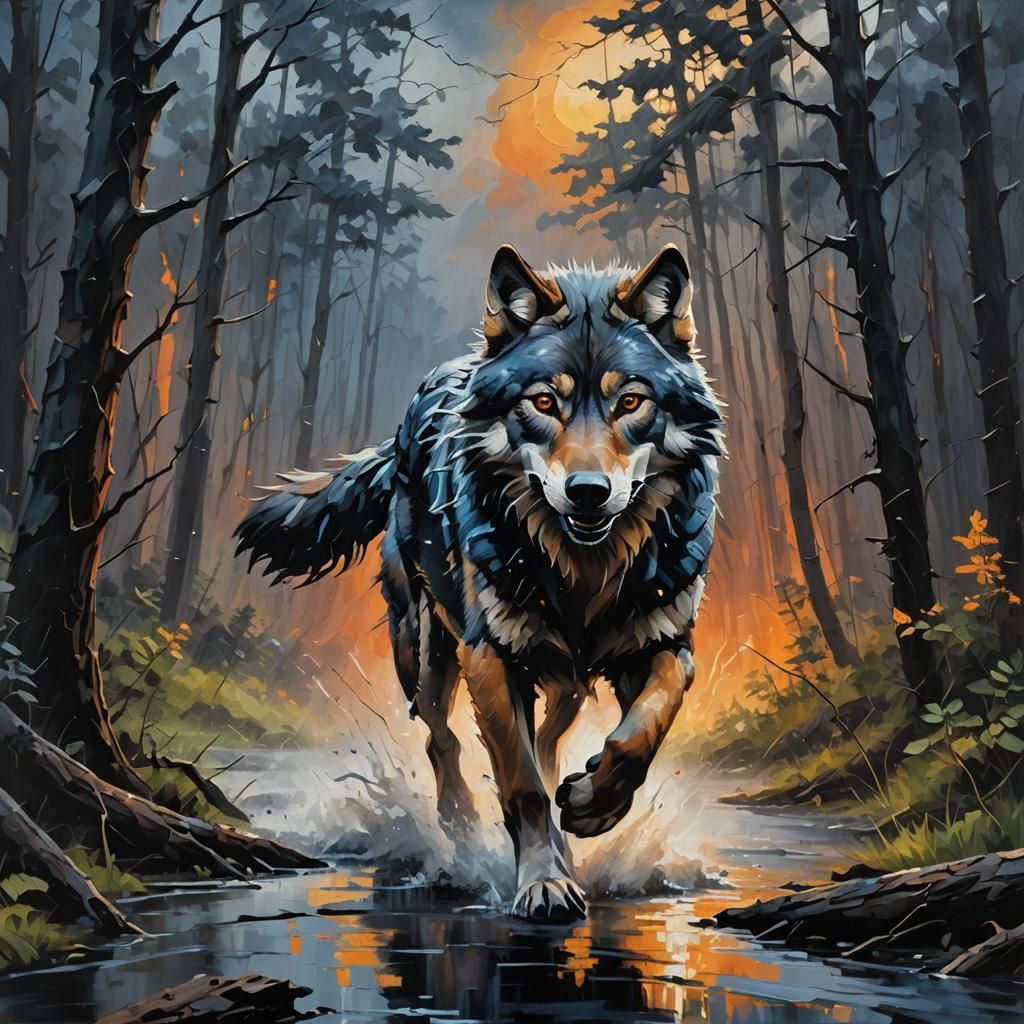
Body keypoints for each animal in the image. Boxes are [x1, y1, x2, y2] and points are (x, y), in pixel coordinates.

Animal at [235, 243, 724, 921]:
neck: (583, 572)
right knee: (442, 739)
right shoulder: (490, 655)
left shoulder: (664, 647)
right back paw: (463, 827)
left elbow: (639, 733)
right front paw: (543, 883)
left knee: (548, 738)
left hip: (563, 681)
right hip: (427, 653)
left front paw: (594, 805)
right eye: (544, 403)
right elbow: (519, 782)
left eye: (630, 403)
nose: (589, 493)